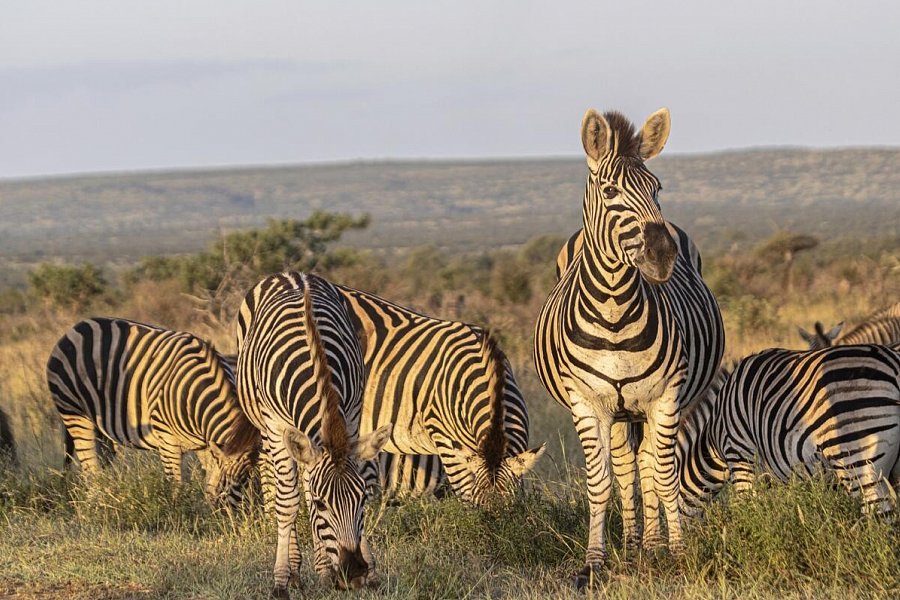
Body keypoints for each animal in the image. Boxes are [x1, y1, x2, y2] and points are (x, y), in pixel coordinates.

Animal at [46, 317, 259, 508]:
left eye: (251, 480)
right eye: (237, 482)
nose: (240, 519)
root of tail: (75, 328)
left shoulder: (204, 445)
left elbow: (210, 483)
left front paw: (206, 513)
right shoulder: (167, 440)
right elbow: (176, 486)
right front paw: (178, 515)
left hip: (102, 428)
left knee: (101, 463)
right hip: (74, 413)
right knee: (91, 469)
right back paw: (97, 505)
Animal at [235, 272, 392, 596]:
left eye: (362, 500)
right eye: (323, 505)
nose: (353, 572)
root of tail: (290, 273)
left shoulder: (352, 416)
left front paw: (358, 571)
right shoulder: (277, 425)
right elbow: (288, 502)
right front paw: (281, 580)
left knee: (305, 481)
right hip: (265, 429)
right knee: (281, 487)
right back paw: (294, 571)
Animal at [533, 108, 725, 586]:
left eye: (658, 188)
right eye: (610, 191)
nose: (661, 255)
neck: (614, 311)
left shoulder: (667, 396)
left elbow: (664, 475)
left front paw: (676, 553)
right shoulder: (587, 401)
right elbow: (601, 481)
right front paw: (593, 563)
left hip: (642, 407)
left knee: (646, 465)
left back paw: (650, 547)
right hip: (617, 411)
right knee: (624, 466)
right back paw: (634, 543)